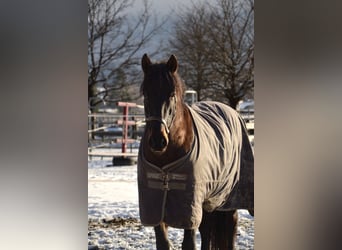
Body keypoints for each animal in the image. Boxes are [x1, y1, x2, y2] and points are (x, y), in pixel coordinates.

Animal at [137, 53, 254, 249]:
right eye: (146, 94)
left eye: (171, 94)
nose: (158, 141)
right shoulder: (155, 207)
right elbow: (163, 243)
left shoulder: (189, 207)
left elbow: (188, 243)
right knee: (207, 231)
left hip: (228, 199)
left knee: (230, 229)